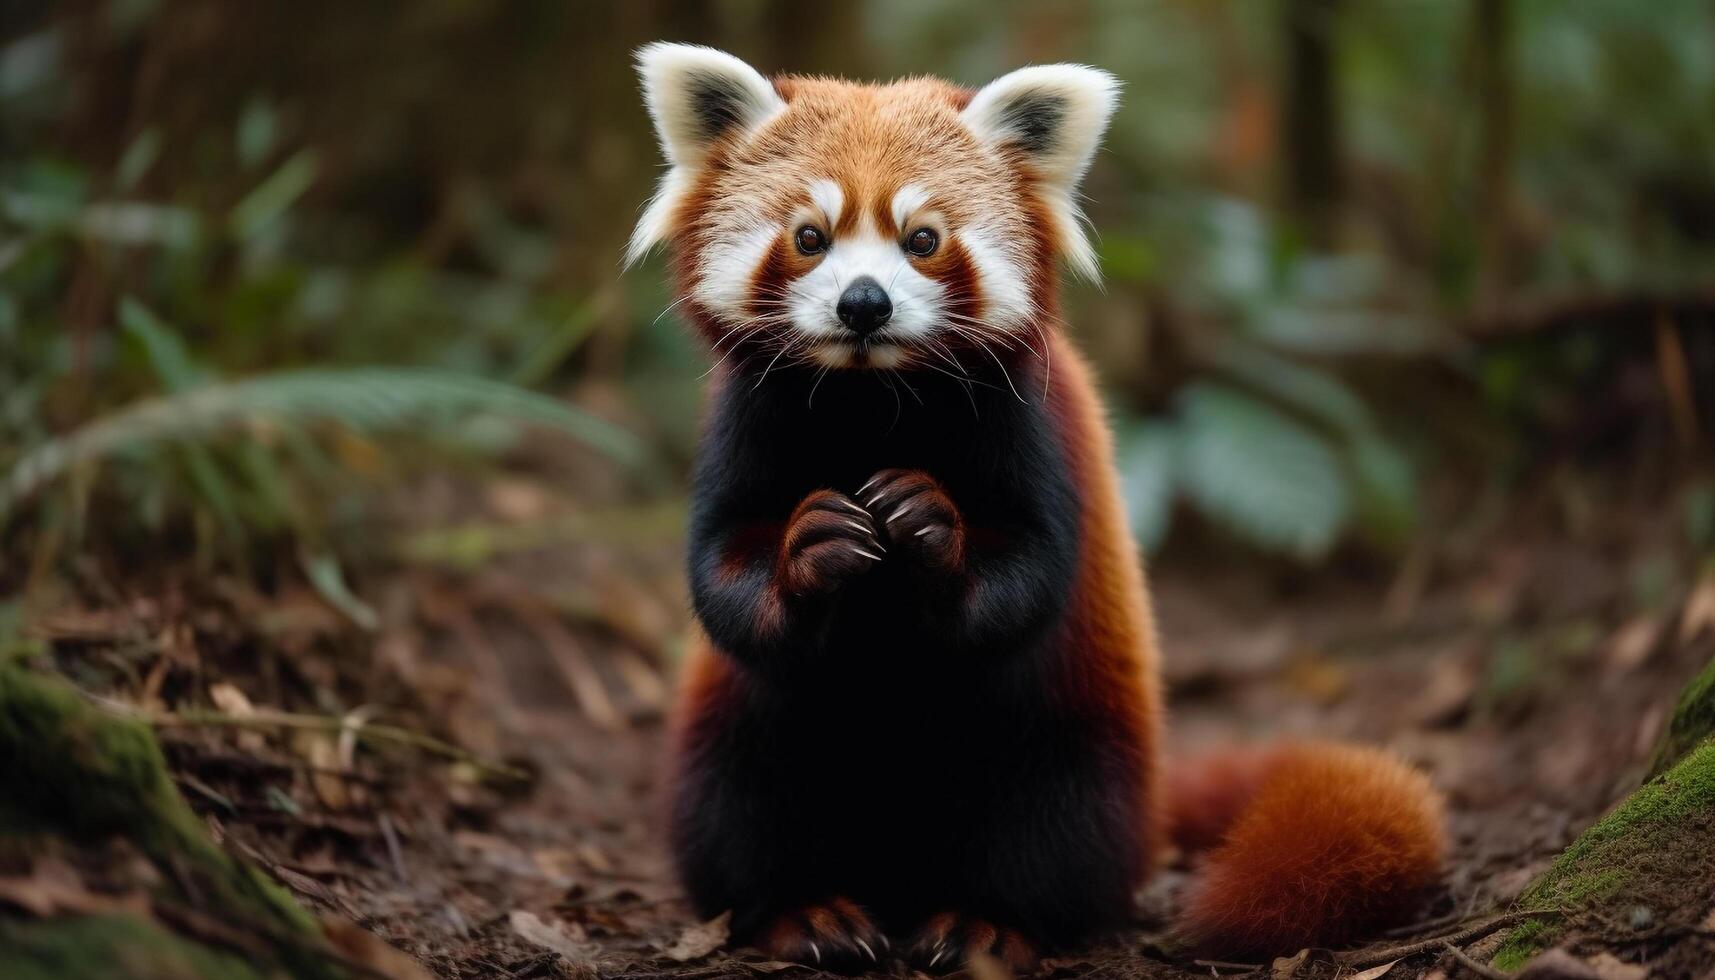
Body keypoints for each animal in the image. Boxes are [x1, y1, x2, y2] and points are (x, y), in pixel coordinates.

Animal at [631, 44, 1447, 974]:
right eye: (809, 237)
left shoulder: (1031, 424)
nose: (864, 302)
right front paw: (811, 547)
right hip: (738, 734)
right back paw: (805, 911)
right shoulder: (745, 419)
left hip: (1072, 739)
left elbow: (1025, 573)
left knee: (1051, 826)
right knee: (739, 802)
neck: (872, 400)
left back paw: (987, 922)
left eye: (922, 238)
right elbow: (722, 574)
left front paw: (930, 527)